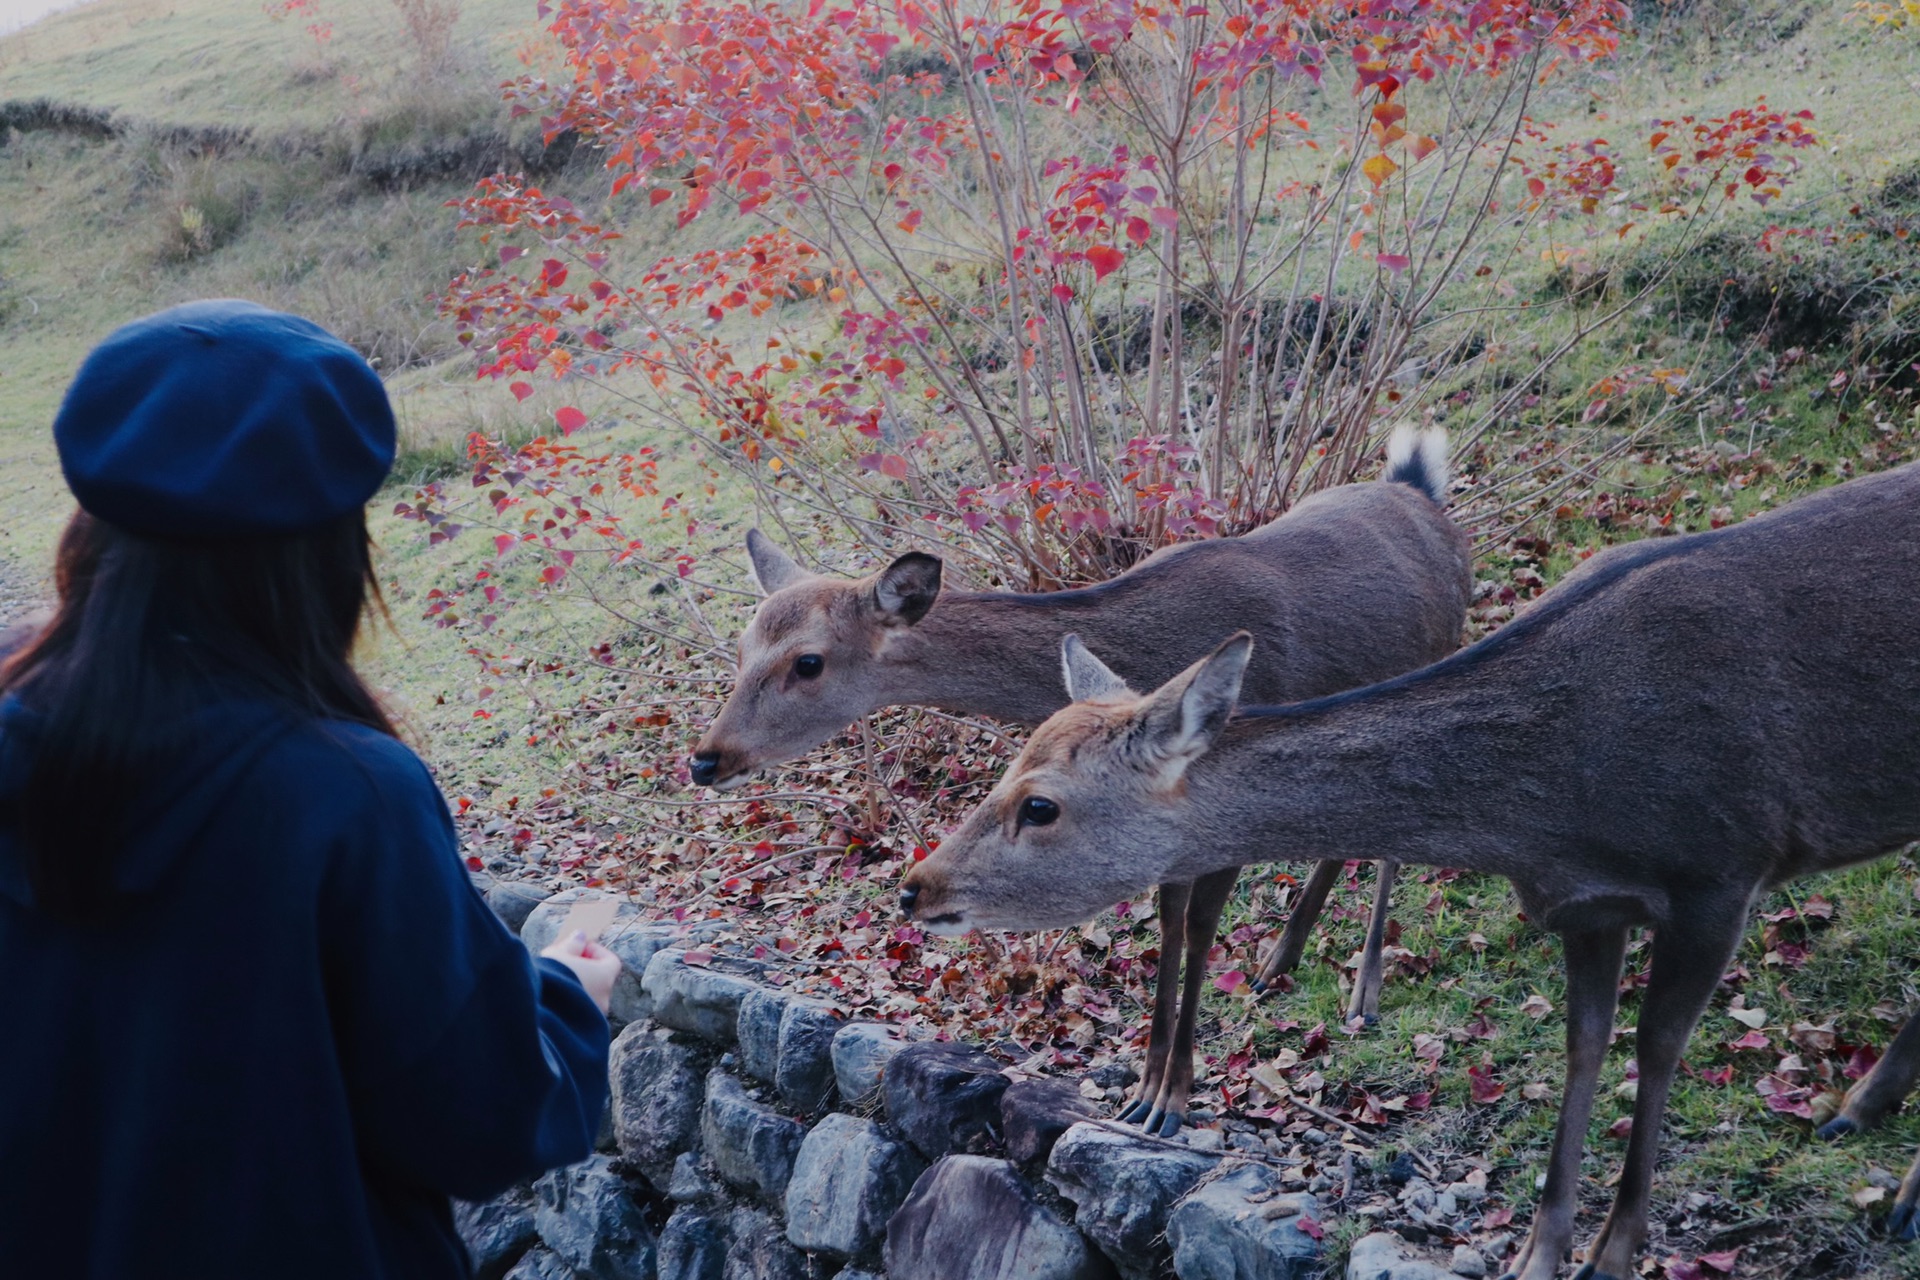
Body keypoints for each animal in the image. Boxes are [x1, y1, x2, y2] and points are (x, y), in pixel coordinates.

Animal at [691, 427, 1466, 1128]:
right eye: (743, 644)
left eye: (808, 662)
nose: (705, 759)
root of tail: (1419, 487)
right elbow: (1170, 918)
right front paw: (1145, 1091)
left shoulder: (1225, 795)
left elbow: (1200, 926)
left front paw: (1173, 1101)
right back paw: (1280, 958)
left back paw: (1363, 989)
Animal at [902, 458, 1920, 1280]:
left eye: (1040, 805)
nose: (915, 885)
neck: (1562, 801)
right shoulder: (1588, 904)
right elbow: (1585, 1045)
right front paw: (1538, 1252)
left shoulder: (1722, 869)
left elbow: (1656, 1048)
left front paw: (1613, 1253)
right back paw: (1861, 1114)